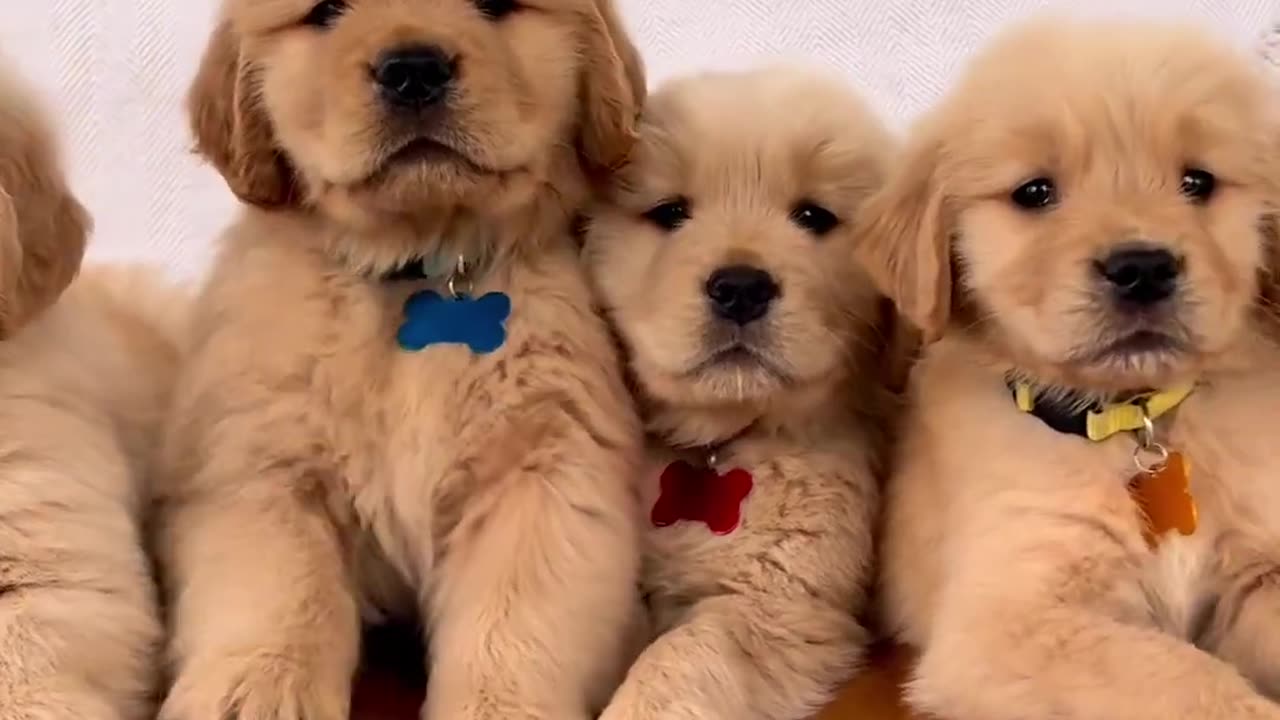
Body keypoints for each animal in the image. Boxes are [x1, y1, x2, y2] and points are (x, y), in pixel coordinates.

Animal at [581, 65, 901, 717]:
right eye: (671, 212)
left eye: (814, 217)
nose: (741, 288)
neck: (716, 442)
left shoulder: (773, 607)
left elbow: (675, 661)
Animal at [860, 16, 1280, 717]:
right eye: (1035, 193)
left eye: (1198, 182)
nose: (1143, 268)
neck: (1133, 417)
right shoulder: (1008, 617)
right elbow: (1186, 677)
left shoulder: (1256, 568)